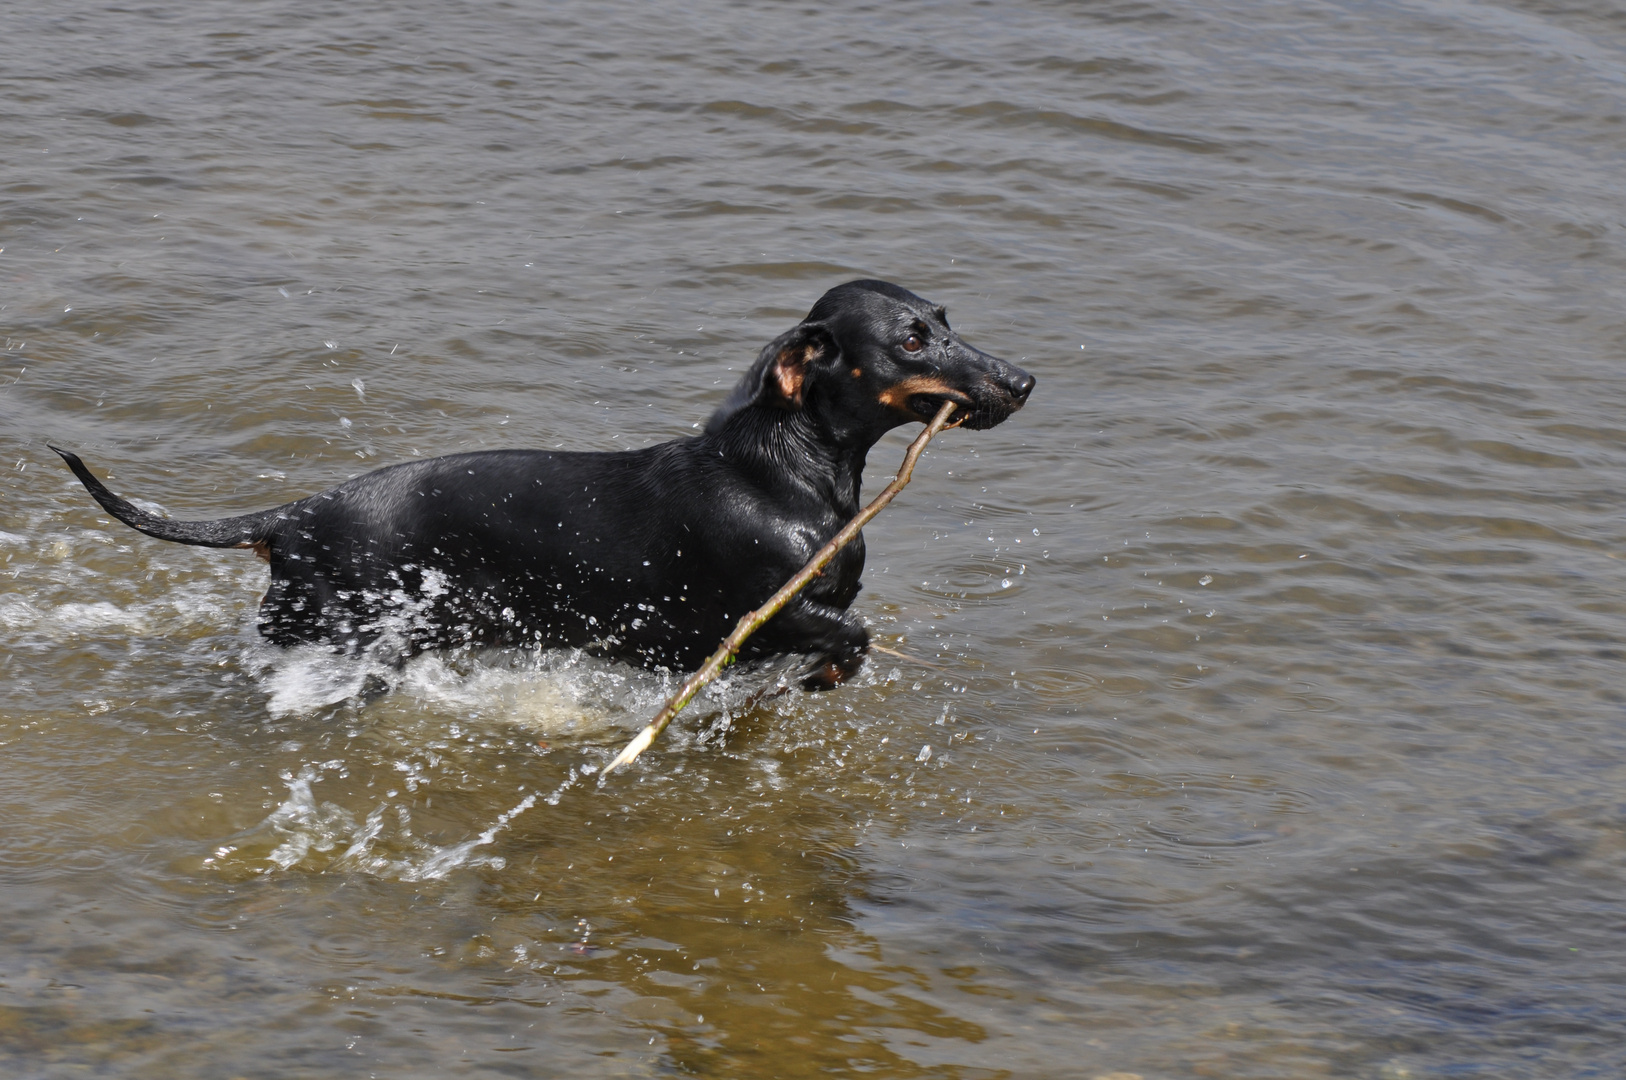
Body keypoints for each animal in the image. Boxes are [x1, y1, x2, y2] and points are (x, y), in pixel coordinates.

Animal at [63, 283, 1034, 686]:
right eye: (910, 340)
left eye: (944, 319)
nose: (1022, 380)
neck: (783, 478)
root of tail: (293, 516)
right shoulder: (762, 612)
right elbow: (851, 634)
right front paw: (828, 675)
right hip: (343, 630)